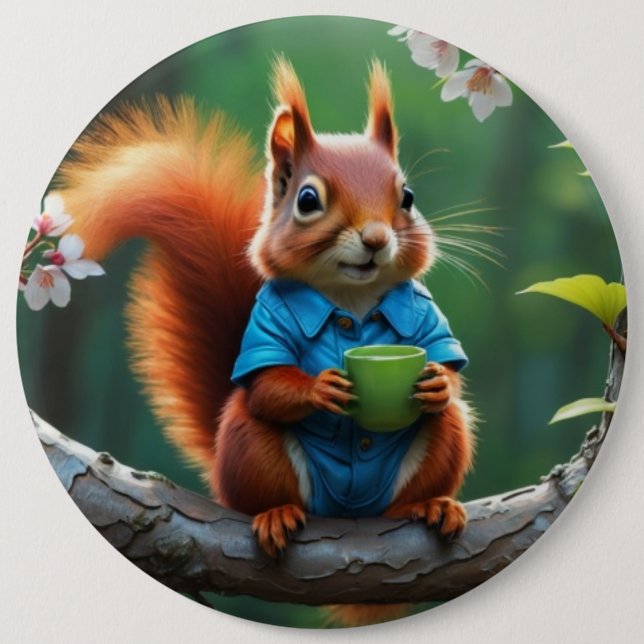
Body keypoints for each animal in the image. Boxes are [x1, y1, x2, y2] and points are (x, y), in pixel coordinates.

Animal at [52, 57, 475, 626]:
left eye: (407, 198)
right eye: (308, 199)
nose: (376, 238)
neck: (351, 298)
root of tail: (350, 514)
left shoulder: (425, 309)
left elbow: (447, 367)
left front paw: (436, 383)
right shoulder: (266, 323)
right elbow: (268, 384)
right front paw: (320, 388)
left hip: (441, 445)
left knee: (435, 440)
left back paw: (427, 505)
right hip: (249, 446)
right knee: (259, 460)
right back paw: (275, 514)